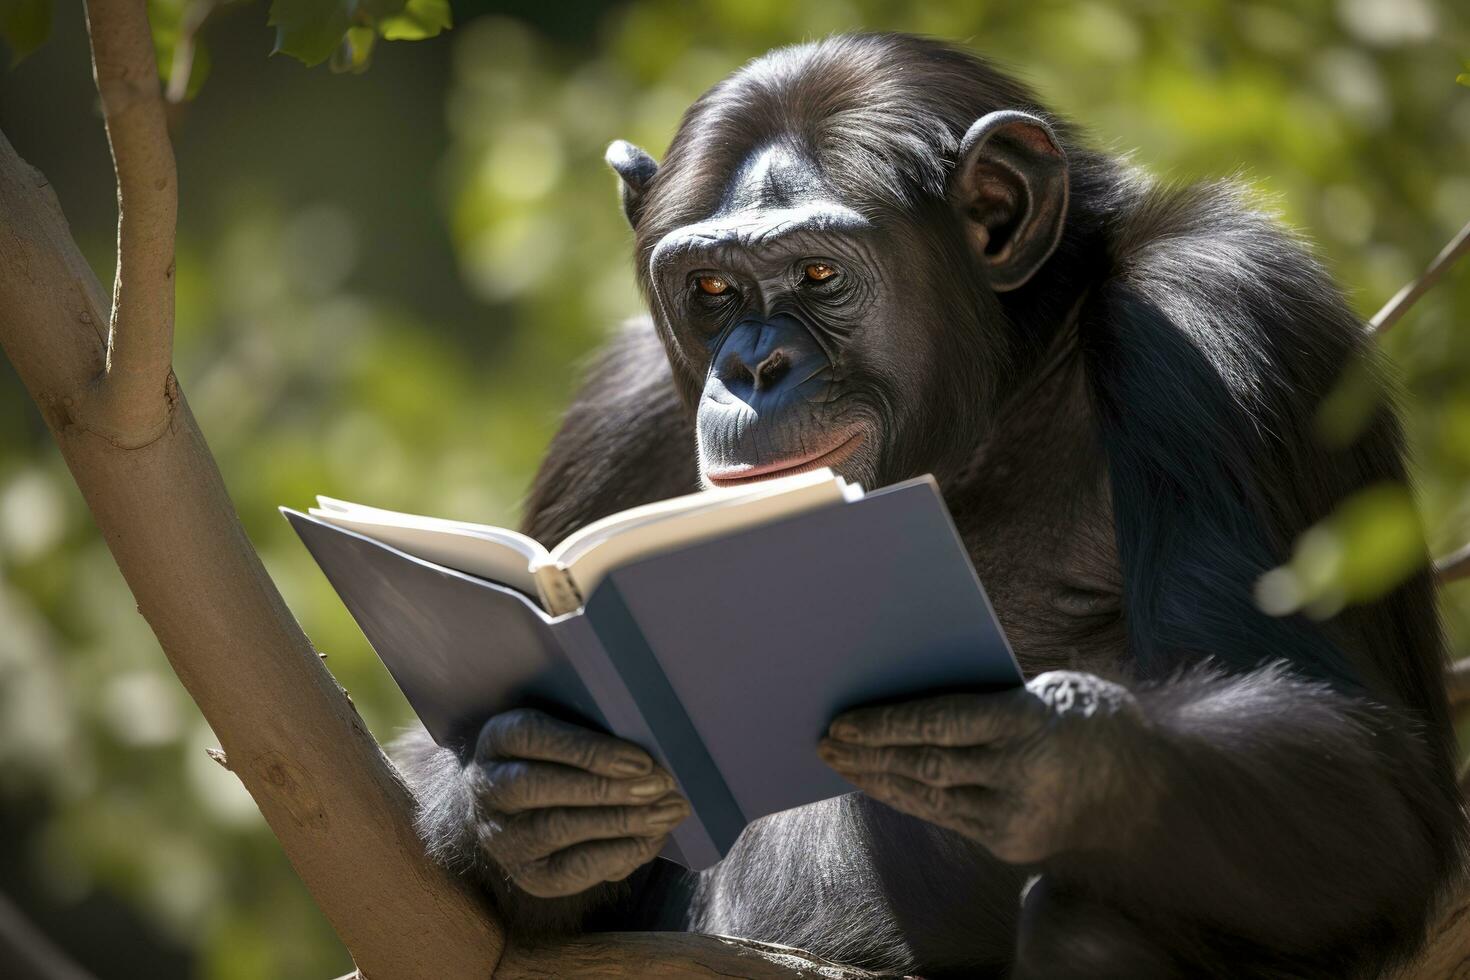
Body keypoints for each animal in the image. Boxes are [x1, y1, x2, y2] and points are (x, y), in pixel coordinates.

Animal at [393, 32, 1470, 980]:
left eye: (819, 272)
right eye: (710, 287)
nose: (754, 367)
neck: (1005, 385)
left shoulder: (1227, 315)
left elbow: (1364, 774)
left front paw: (1048, 754)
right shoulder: (616, 413)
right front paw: (521, 788)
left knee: (1094, 922)